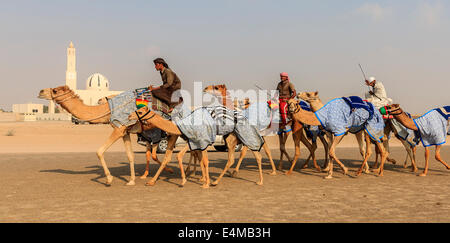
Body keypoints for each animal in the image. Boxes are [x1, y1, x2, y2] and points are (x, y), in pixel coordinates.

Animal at [37, 85, 174, 186]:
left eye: (55, 90)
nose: (40, 91)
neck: (106, 110)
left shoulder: (119, 128)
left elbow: (99, 151)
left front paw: (109, 179)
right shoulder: (125, 131)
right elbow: (130, 155)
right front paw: (131, 181)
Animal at [128, 105, 266, 187]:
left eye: (139, 111)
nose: (129, 116)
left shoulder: (199, 139)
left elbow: (199, 159)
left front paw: (195, 181)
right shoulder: (195, 141)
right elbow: (200, 159)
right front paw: (151, 181)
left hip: (243, 133)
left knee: (256, 153)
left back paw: (260, 181)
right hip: (231, 137)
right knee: (231, 159)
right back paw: (215, 181)